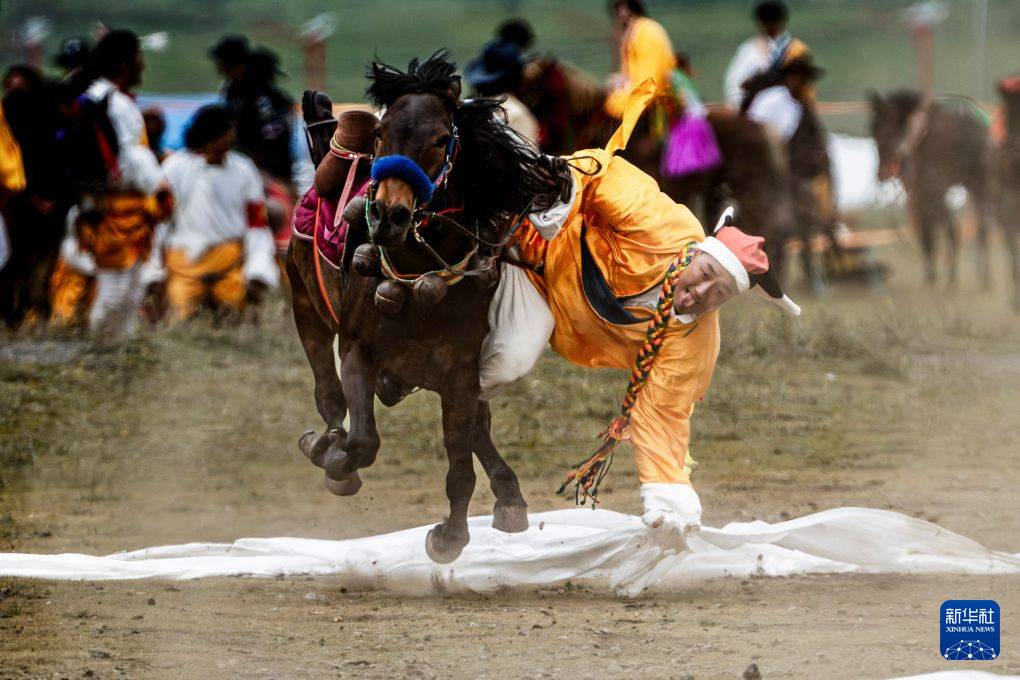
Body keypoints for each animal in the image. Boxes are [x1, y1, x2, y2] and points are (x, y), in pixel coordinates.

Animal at [286, 52, 563, 563]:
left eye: (438, 139)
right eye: (380, 133)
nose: (389, 215)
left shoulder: (460, 367)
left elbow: (460, 455)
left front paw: (451, 535)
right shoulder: (357, 349)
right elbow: (363, 440)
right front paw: (333, 457)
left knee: (478, 427)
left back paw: (510, 499)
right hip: (305, 305)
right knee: (328, 393)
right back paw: (327, 444)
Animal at [869, 90, 995, 287]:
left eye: (884, 133)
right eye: (873, 134)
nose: (882, 174)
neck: (917, 134)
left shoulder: (926, 190)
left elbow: (929, 229)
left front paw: (932, 273)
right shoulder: (928, 192)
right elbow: (934, 227)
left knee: (953, 228)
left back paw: (953, 275)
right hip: (978, 187)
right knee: (981, 228)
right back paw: (982, 277)